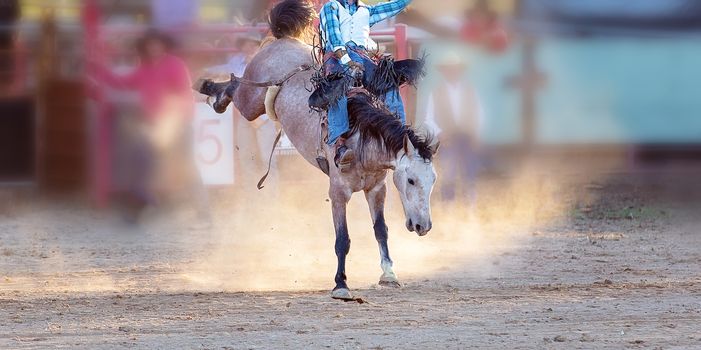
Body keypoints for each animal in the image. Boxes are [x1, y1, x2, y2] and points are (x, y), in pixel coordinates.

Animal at [197, 0, 438, 300]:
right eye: (411, 180)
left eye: (432, 180)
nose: (423, 226)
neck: (360, 136)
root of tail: (284, 38)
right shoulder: (337, 192)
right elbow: (342, 239)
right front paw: (341, 284)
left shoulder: (377, 189)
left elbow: (381, 230)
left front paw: (389, 274)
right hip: (250, 100)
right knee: (236, 86)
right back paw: (211, 92)